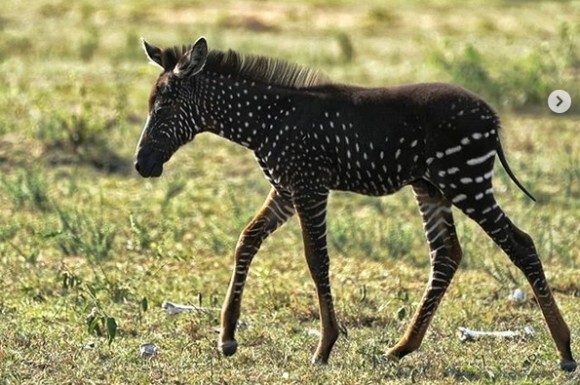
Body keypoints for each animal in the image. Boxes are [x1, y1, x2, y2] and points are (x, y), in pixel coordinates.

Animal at [135, 37, 576, 370]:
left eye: (164, 107)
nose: (142, 165)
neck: (265, 121)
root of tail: (492, 118)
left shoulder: (309, 186)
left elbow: (316, 259)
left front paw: (325, 346)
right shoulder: (286, 189)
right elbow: (247, 239)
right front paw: (227, 337)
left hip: (466, 182)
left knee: (520, 244)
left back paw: (565, 350)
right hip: (431, 187)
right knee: (447, 253)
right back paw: (402, 347)